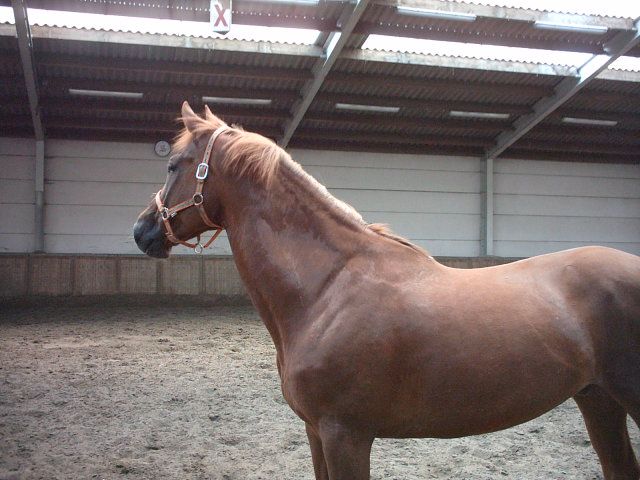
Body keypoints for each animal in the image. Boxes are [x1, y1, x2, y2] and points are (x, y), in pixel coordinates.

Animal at [134, 101, 640, 480]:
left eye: (173, 165)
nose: (142, 231)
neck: (326, 290)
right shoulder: (317, 432)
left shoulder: (346, 435)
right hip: (598, 401)